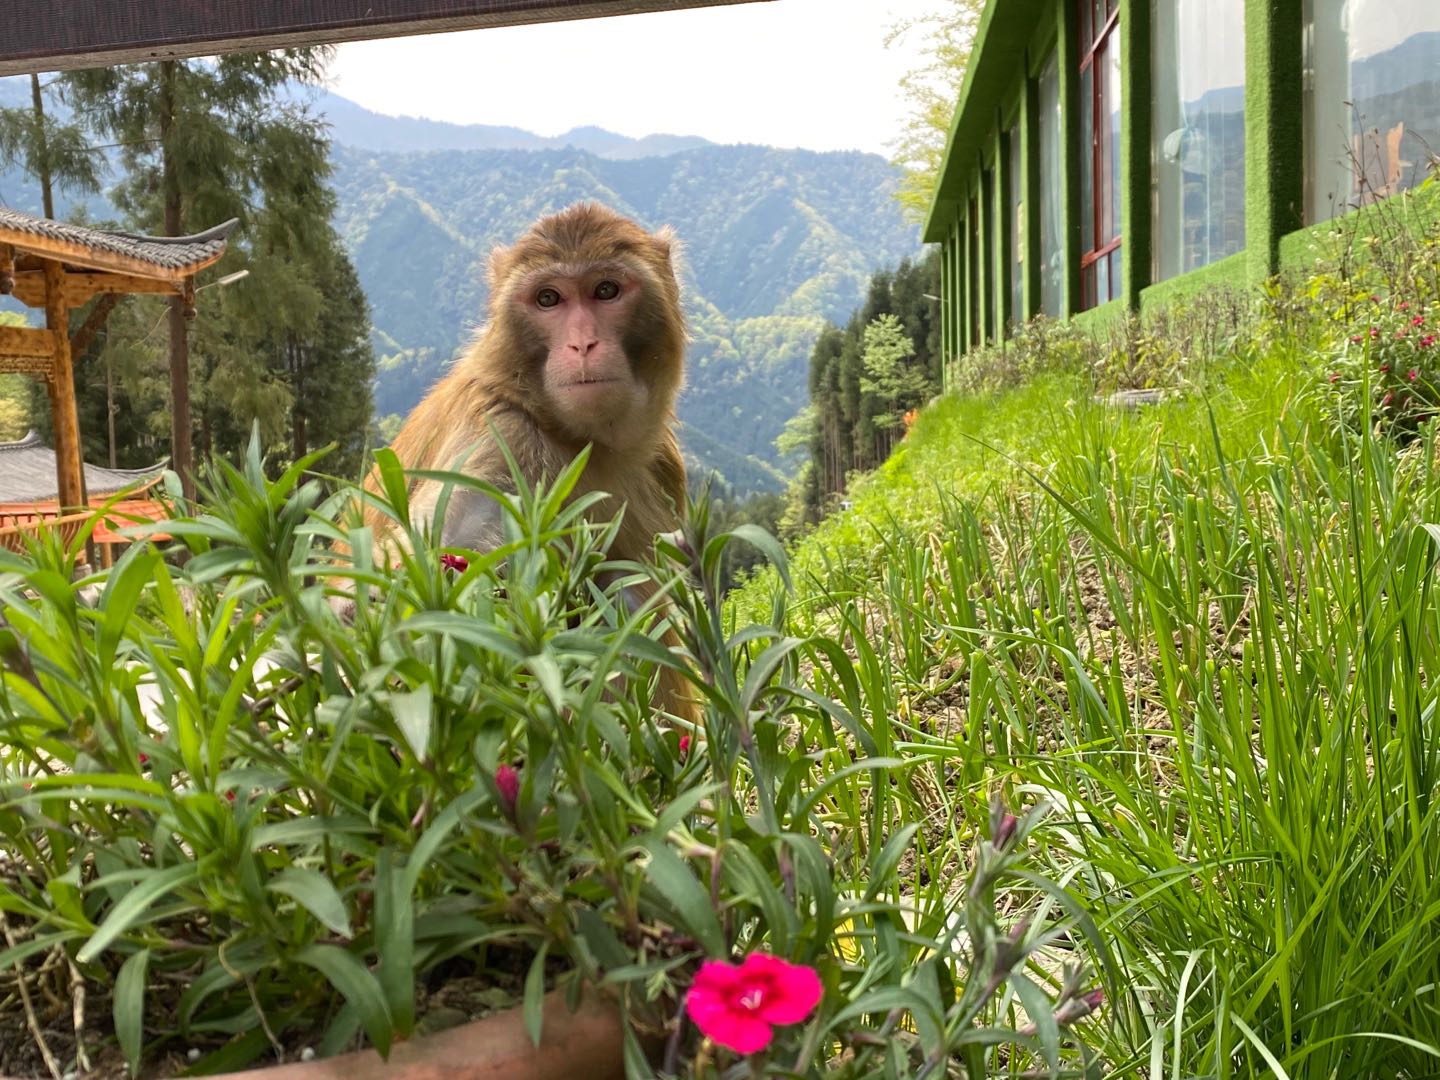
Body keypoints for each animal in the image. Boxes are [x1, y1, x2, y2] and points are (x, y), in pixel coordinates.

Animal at [362, 204, 694, 720]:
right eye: (548, 299)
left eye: (606, 291)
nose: (582, 345)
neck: (577, 439)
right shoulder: (499, 444)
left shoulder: (663, 463)